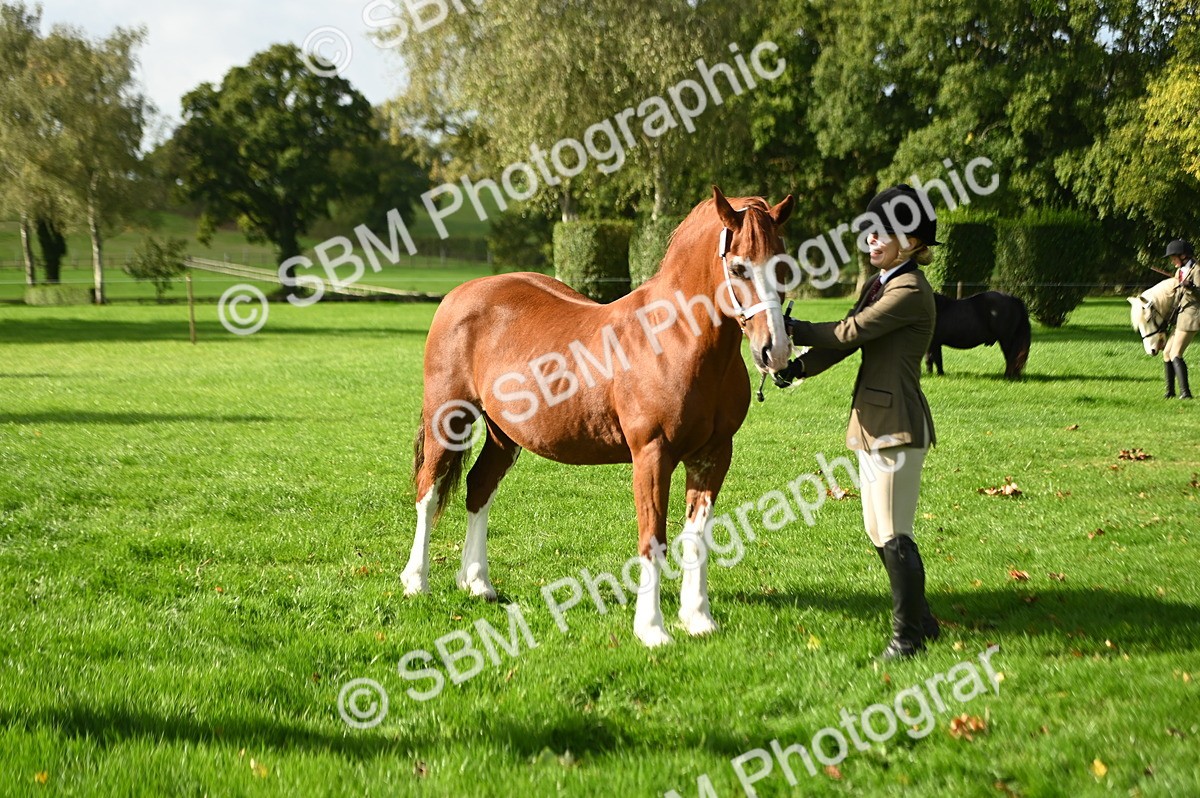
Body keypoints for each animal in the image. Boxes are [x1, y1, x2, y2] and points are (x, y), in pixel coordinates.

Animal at [402, 186, 795, 647]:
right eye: (738, 266)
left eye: (783, 263)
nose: (775, 349)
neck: (674, 338)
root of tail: (459, 294)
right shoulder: (652, 455)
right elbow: (653, 538)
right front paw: (652, 629)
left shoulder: (713, 455)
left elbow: (697, 538)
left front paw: (698, 619)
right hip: (449, 418)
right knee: (428, 491)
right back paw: (416, 581)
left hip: (505, 435)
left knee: (479, 487)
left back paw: (478, 583)